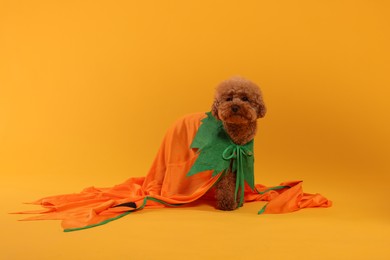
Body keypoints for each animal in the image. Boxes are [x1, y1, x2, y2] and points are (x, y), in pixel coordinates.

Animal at [210, 76, 268, 210]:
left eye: (245, 98)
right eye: (228, 99)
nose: (235, 107)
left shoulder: (240, 161)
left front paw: (238, 201)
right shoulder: (226, 166)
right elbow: (226, 185)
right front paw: (227, 204)